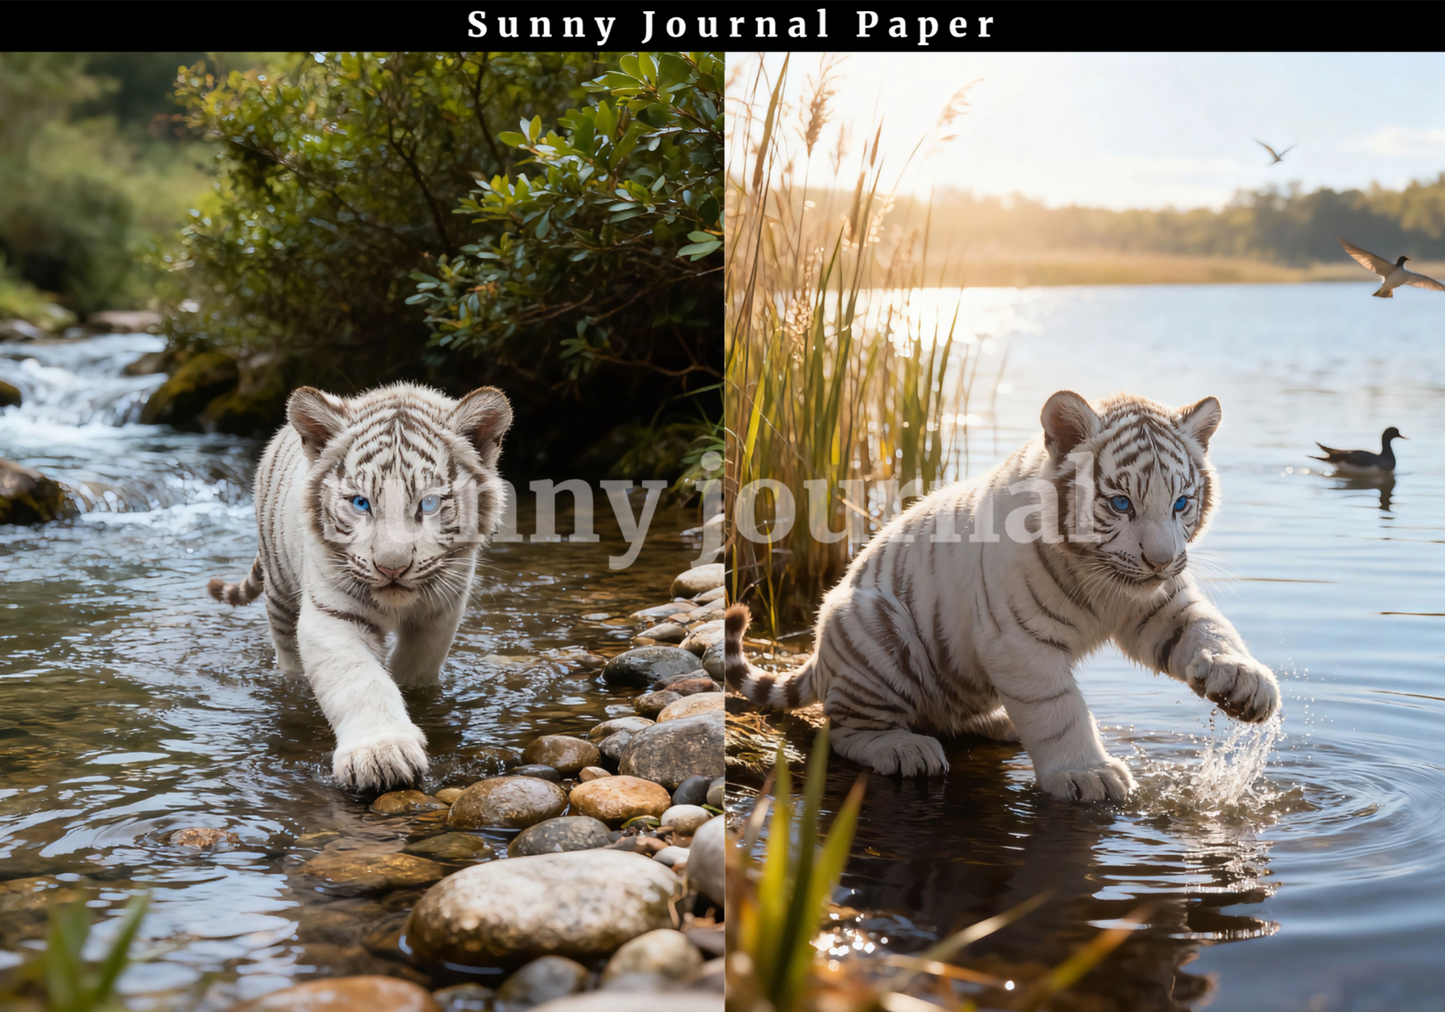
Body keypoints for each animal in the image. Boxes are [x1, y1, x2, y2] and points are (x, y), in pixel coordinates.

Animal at [208, 382, 512, 791]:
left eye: (429, 504)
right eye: (360, 503)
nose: (392, 567)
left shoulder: (442, 607)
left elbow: (415, 667)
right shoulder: (332, 613)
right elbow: (360, 680)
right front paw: (382, 753)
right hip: (280, 591)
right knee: (287, 651)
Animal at [725, 390, 1280, 802]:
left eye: (1182, 503)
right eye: (1121, 503)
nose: (1161, 562)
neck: (1101, 580)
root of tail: (818, 656)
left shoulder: (1159, 608)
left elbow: (1210, 629)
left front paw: (1244, 683)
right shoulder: (1019, 640)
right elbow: (1057, 709)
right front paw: (1087, 774)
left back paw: (1000, 723)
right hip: (871, 627)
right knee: (845, 730)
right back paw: (905, 750)